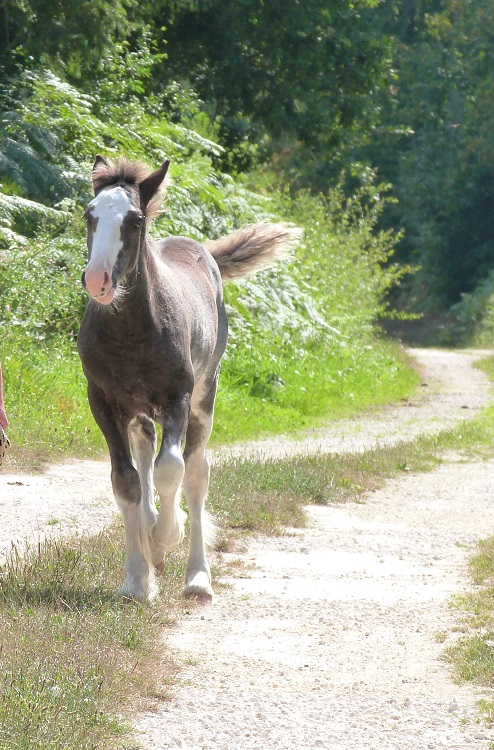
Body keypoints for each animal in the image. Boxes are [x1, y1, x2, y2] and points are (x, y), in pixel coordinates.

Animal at [77, 159, 302, 604]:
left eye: (135, 219)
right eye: (89, 214)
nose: (98, 280)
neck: (130, 332)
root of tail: (204, 251)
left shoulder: (176, 399)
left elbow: (171, 470)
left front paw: (167, 537)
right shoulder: (103, 403)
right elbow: (125, 482)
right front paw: (137, 580)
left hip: (203, 398)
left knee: (196, 473)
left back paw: (197, 577)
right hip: (139, 412)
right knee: (145, 455)